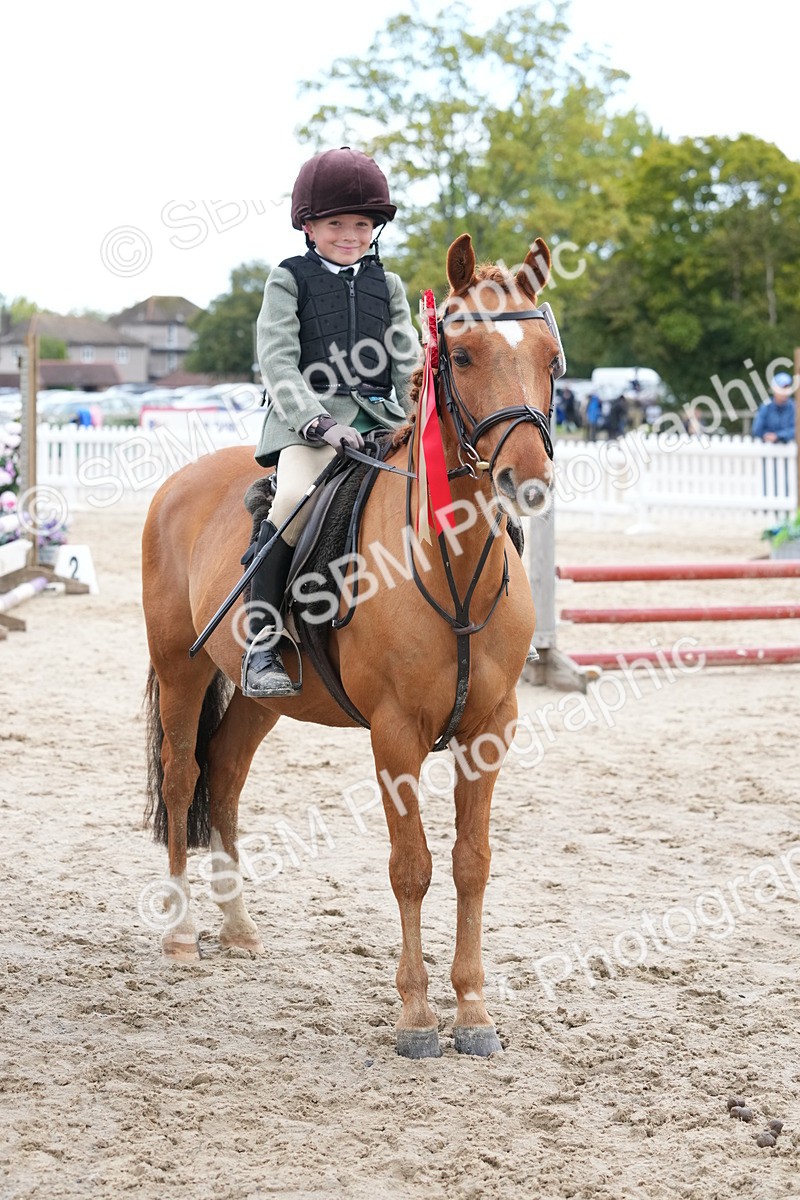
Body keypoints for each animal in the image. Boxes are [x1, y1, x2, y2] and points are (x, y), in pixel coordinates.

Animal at [141, 233, 561, 1058]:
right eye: (463, 355)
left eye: (551, 357)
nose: (525, 480)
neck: (451, 567)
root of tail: (183, 479)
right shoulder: (396, 734)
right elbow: (411, 866)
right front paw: (418, 1017)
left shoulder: (489, 730)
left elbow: (471, 864)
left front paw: (473, 1012)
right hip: (181, 669)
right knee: (181, 779)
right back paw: (179, 933)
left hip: (261, 699)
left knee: (225, 777)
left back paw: (238, 927)